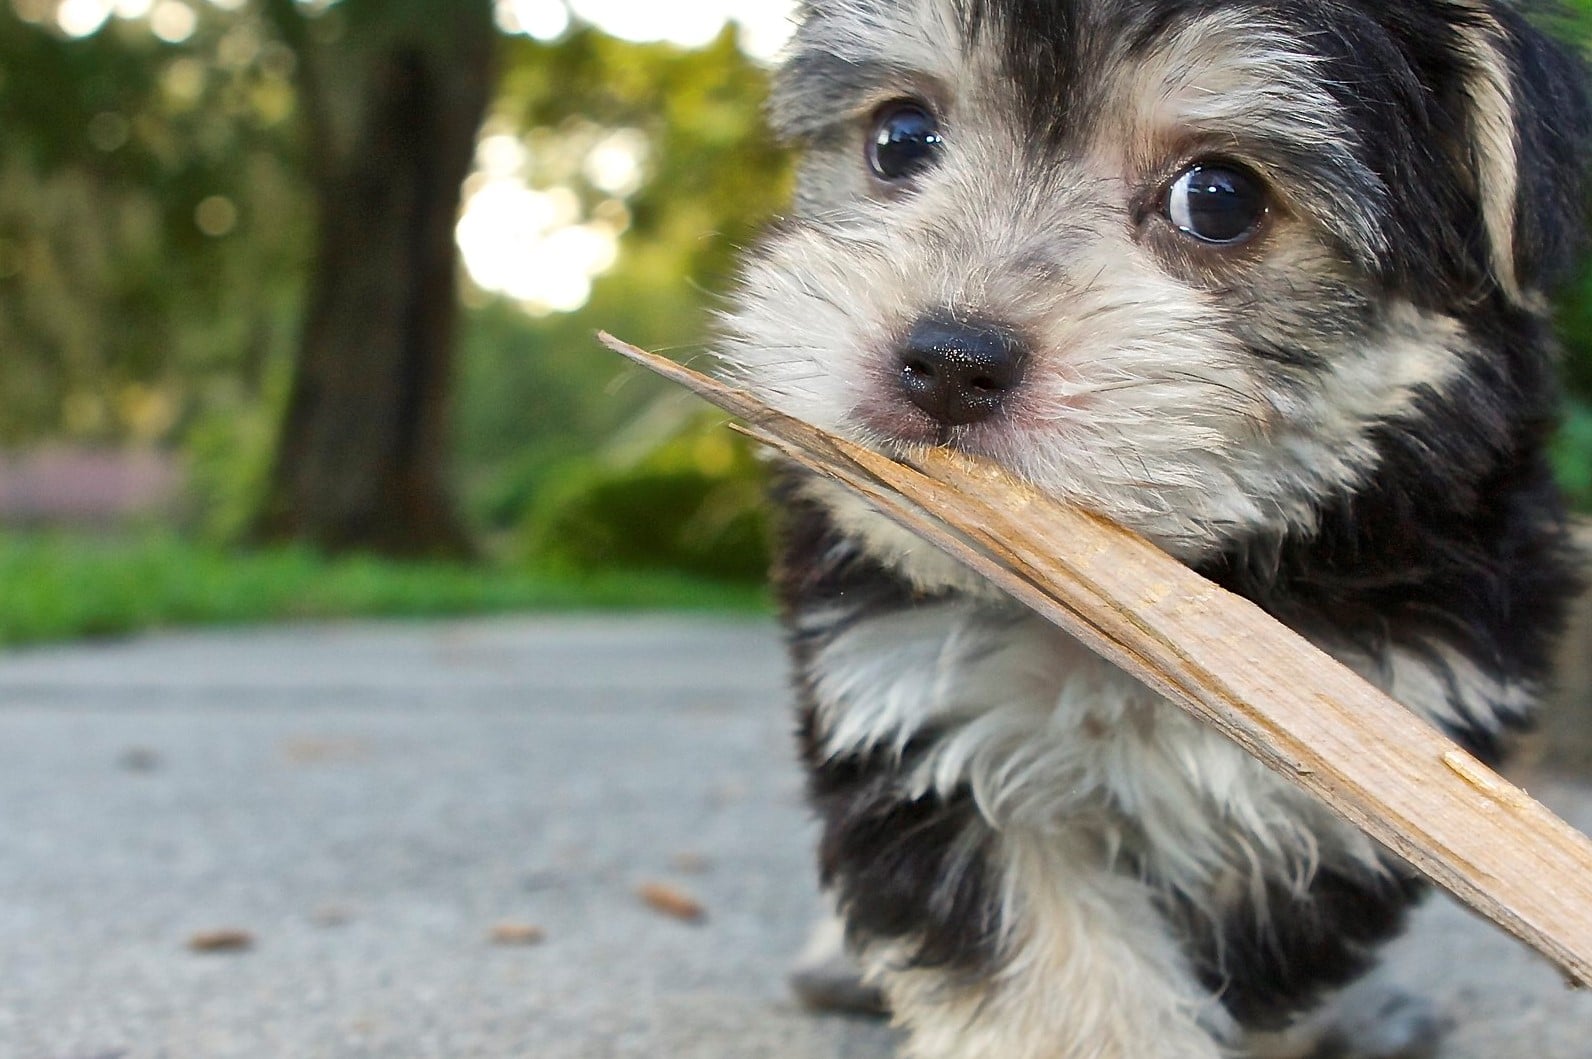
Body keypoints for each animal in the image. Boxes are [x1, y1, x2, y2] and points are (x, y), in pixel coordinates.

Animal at [725, 2, 1592, 1057]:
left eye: (1218, 199)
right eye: (900, 139)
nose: (947, 361)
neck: (1163, 594)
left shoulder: (1360, 752)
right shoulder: (923, 707)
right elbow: (1050, 971)